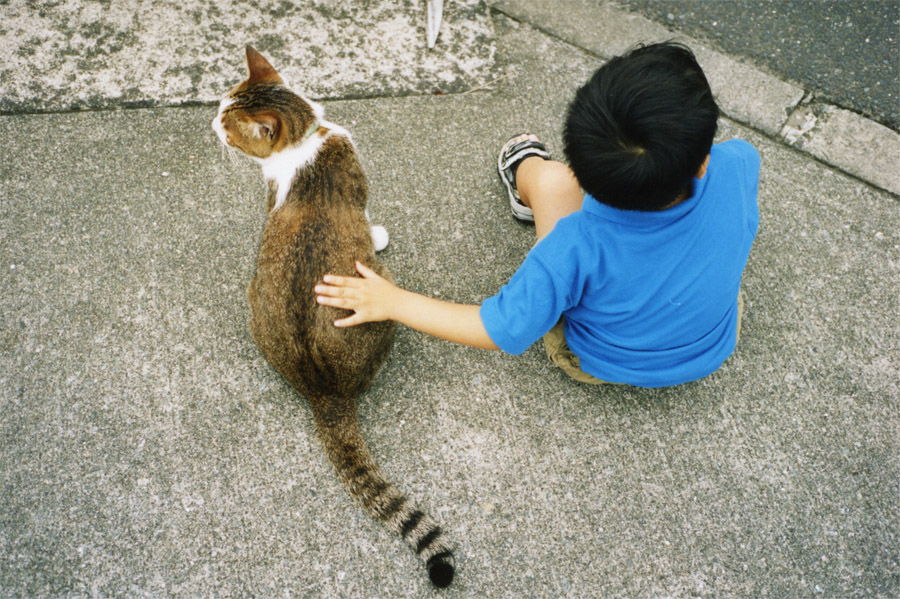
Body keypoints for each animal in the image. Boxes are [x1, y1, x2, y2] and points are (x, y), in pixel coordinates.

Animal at [213, 44, 458, 588]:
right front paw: (378, 233)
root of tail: (322, 389)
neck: (307, 141)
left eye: (225, 119)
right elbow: (368, 220)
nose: (209, 124)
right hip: (382, 296)